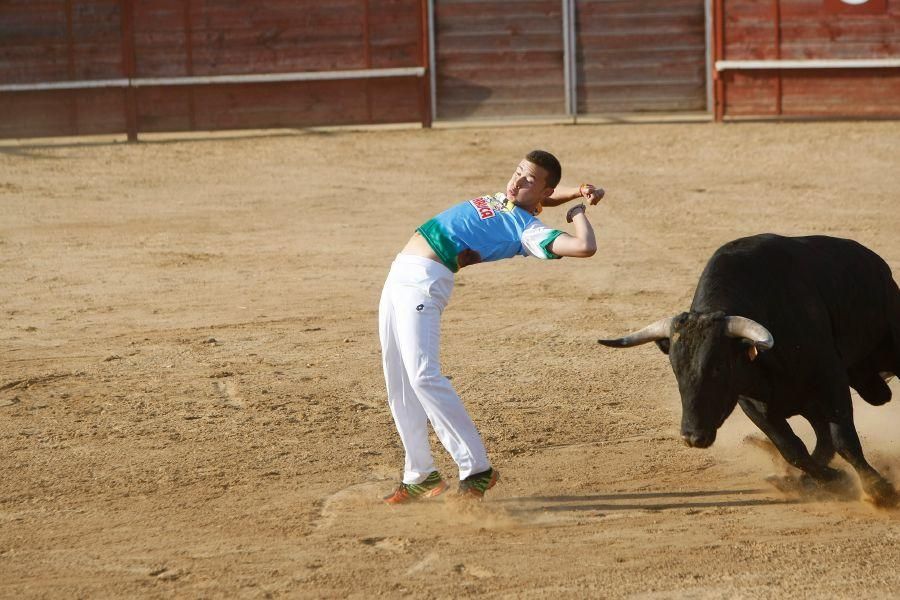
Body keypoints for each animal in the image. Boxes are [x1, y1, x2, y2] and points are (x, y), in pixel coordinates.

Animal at [596, 234, 900, 506]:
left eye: (718, 367)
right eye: (675, 368)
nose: (693, 437)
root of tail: (878, 266)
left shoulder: (830, 381)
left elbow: (844, 440)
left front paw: (879, 489)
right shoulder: (753, 404)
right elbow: (793, 449)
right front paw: (832, 480)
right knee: (820, 439)